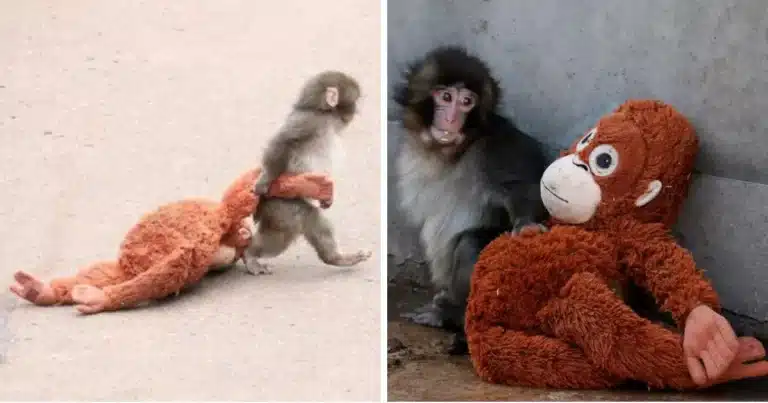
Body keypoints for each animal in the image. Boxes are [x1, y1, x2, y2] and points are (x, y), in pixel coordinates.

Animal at [244, 70, 372, 275]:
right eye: (354, 101)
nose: (355, 112)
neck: (323, 113)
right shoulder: (308, 122)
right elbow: (283, 142)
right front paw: (264, 180)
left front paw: (327, 199)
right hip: (282, 205)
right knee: (283, 232)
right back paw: (250, 255)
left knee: (314, 221)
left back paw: (337, 259)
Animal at [392, 46, 550, 354]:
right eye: (445, 97)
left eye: (467, 102)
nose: (452, 119)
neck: (454, 151)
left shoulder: (497, 144)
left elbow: (526, 186)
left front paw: (526, 224)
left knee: (470, 243)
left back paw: (454, 318)